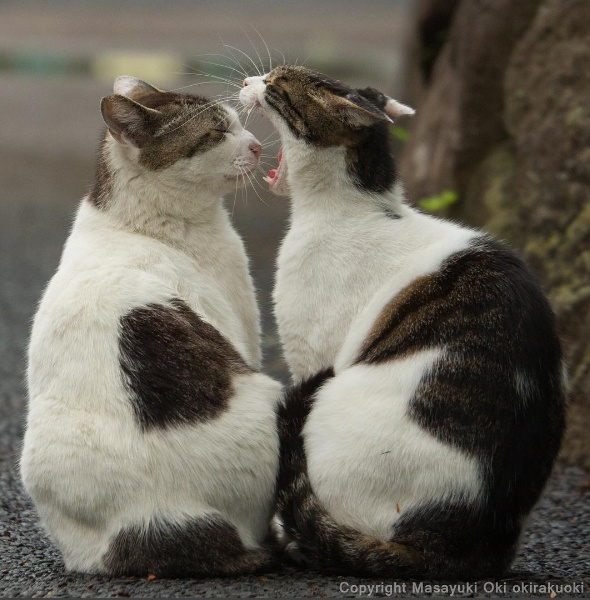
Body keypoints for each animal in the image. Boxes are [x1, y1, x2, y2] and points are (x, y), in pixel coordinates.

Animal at [19, 76, 284, 576]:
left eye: (237, 123)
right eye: (216, 133)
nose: (258, 146)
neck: (139, 222)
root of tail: (151, 520)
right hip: (267, 393)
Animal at [242, 67, 568, 580]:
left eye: (276, 83)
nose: (247, 79)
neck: (355, 206)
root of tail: (455, 549)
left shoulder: (311, 358)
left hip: (332, 403)